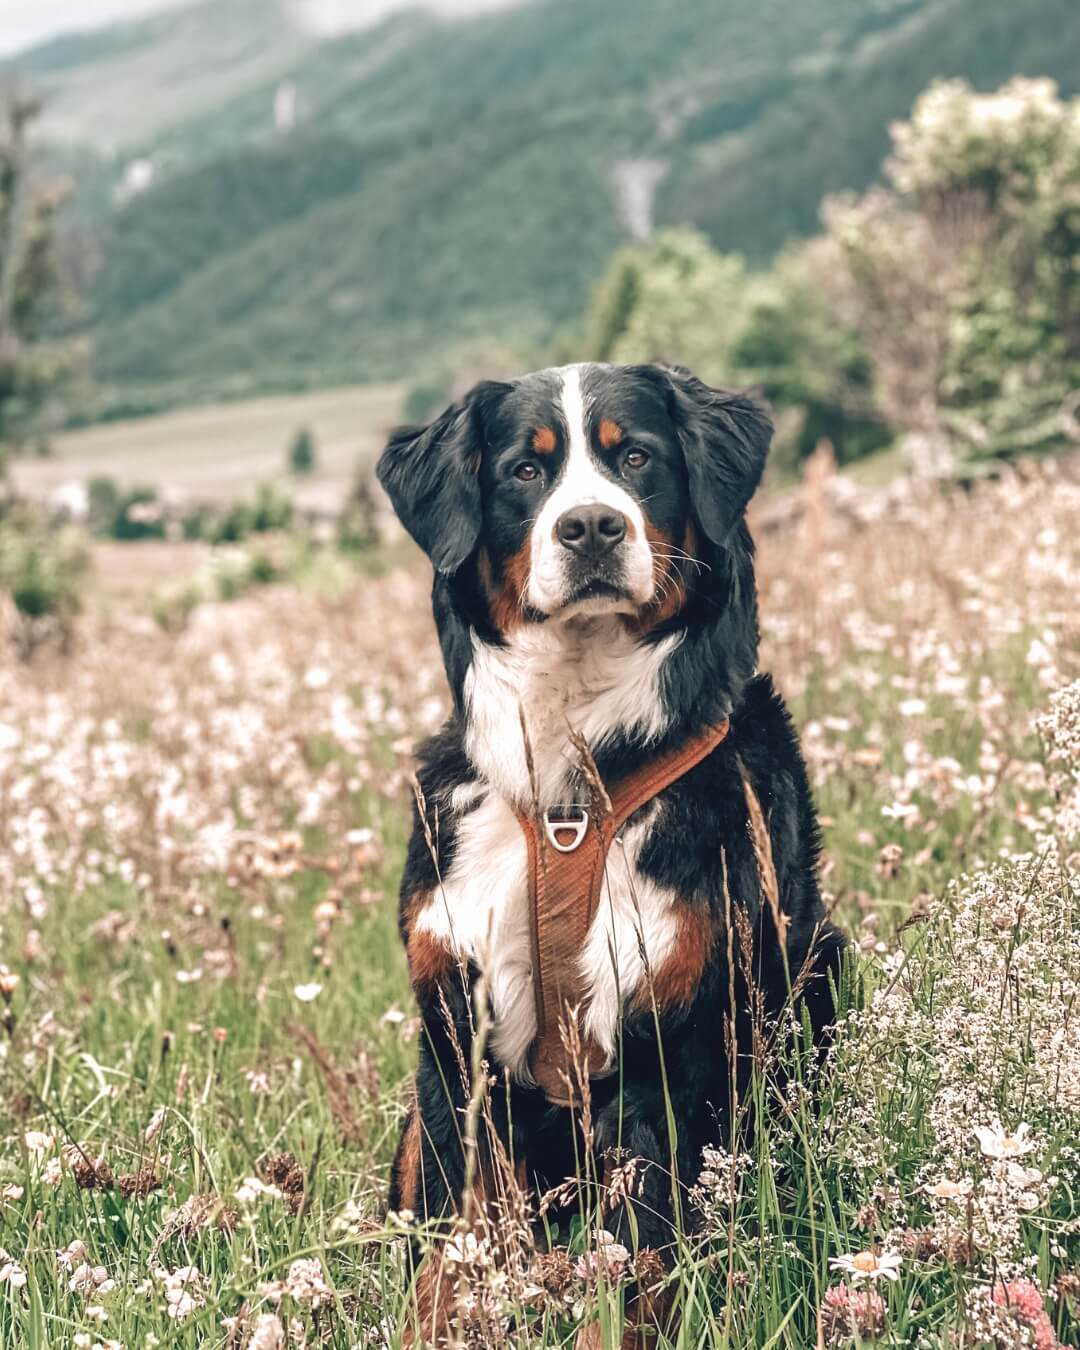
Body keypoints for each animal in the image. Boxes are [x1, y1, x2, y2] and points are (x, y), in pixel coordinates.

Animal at [378, 359, 842, 1339]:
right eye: (525, 470)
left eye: (636, 458)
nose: (590, 525)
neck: (571, 792)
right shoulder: (455, 1040)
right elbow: (448, 1254)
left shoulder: (669, 1046)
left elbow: (637, 1269)